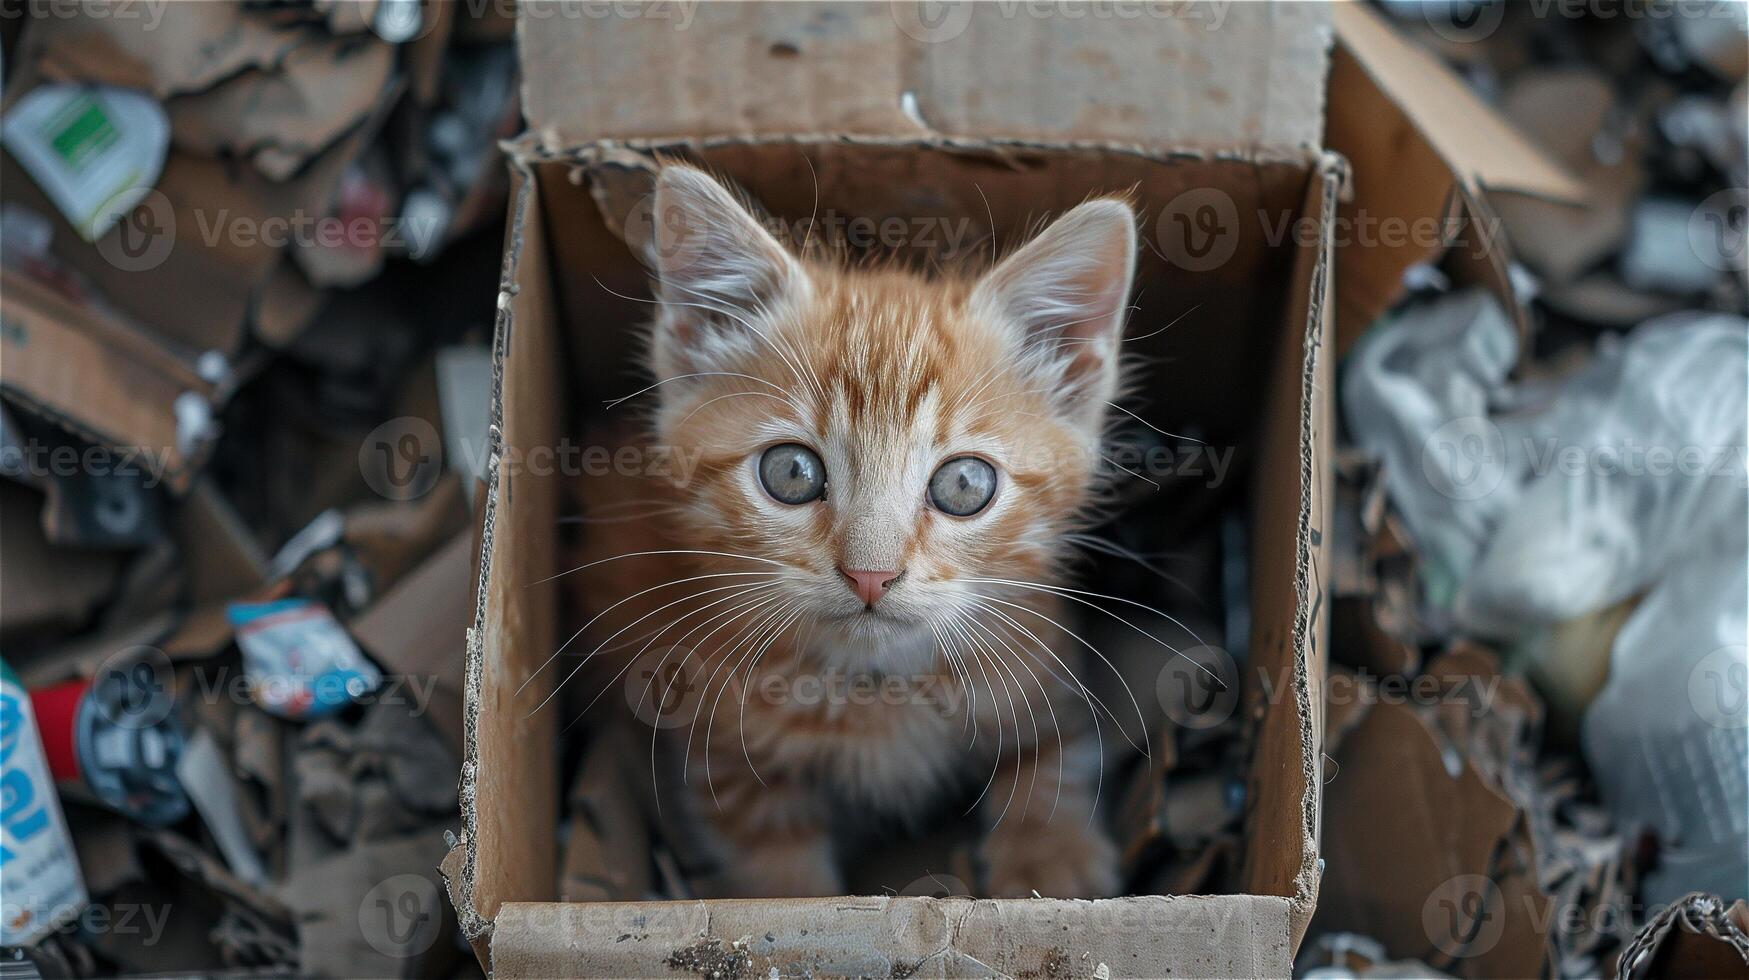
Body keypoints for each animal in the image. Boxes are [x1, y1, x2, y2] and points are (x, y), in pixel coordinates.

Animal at [580, 164, 1140, 903]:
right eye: (790, 472)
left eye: (965, 485)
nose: (869, 575)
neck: (878, 691)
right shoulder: (716, 747)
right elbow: (772, 862)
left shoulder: (1040, 658)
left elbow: (1056, 752)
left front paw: (1052, 858)